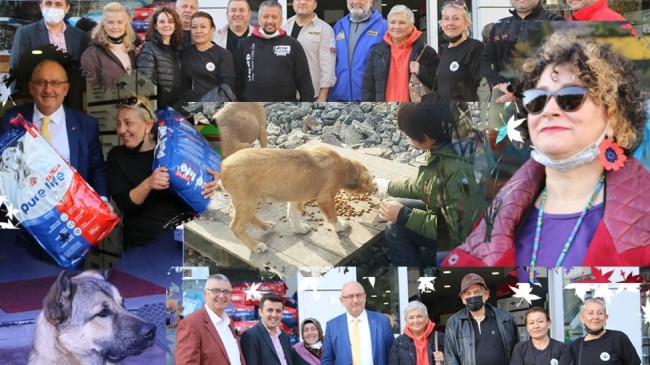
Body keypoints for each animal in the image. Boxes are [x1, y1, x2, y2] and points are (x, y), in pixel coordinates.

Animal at [219, 146, 372, 252]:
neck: (344, 166)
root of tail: (222, 167)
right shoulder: (325, 198)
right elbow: (332, 216)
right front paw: (340, 227)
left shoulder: (295, 197)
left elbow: (293, 213)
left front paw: (299, 229)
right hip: (247, 201)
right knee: (237, 227)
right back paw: (256, 246)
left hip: (247, 200)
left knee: (249, 218)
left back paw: (266, 225)